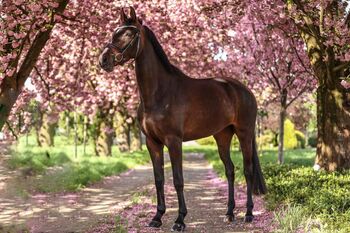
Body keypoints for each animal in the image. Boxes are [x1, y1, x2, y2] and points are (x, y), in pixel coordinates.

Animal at [100, 6, 266, 232]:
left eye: (128, 34)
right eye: (114, 32)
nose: (103, 60)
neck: (160, 92)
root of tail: (243, 90)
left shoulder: (174, 141)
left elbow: (178, 179)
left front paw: (179, 220)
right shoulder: (153, 143)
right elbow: (159, 179)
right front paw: (157, 217)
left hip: (244, 133)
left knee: (248, 171)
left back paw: (248, 214)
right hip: (222, 136)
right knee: (230, 170)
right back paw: (229, 213)